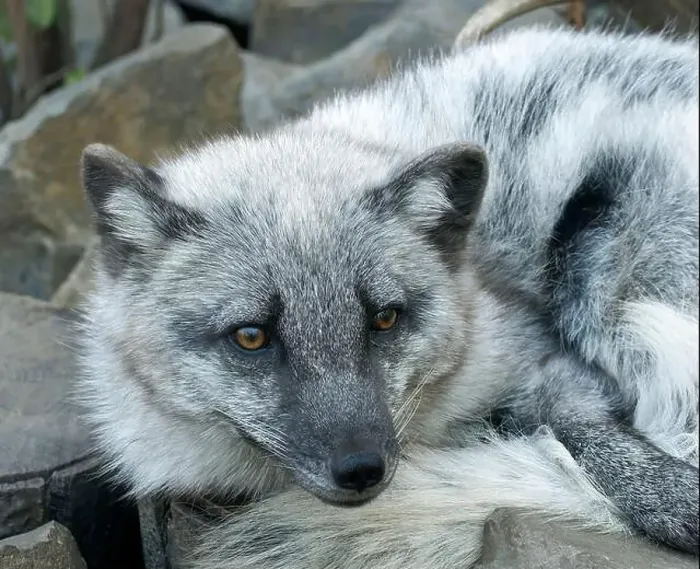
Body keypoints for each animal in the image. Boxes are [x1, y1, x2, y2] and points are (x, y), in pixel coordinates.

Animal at [76, 25, 699, 569]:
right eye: (250, 336)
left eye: (384, 319)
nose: (361, 469)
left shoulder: (544, 354)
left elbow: (588, 431)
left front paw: (667, 498)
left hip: (600, 263)